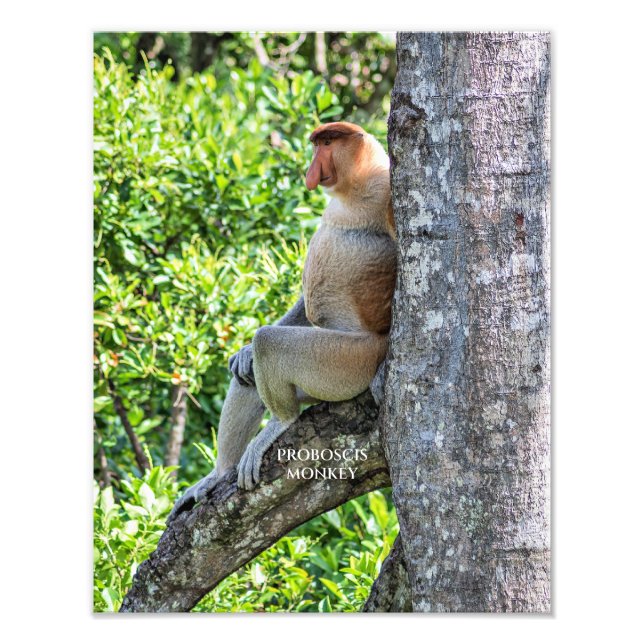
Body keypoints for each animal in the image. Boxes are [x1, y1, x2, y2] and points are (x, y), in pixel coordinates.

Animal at [168, 121, 396, 520]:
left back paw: (279, 422)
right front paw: (242, 352)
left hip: (347, 363)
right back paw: (219, 472)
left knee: (270, 344)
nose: (311, 170)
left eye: (326, 143)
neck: (355, 189)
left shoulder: (387, 192)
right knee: (248, 375)